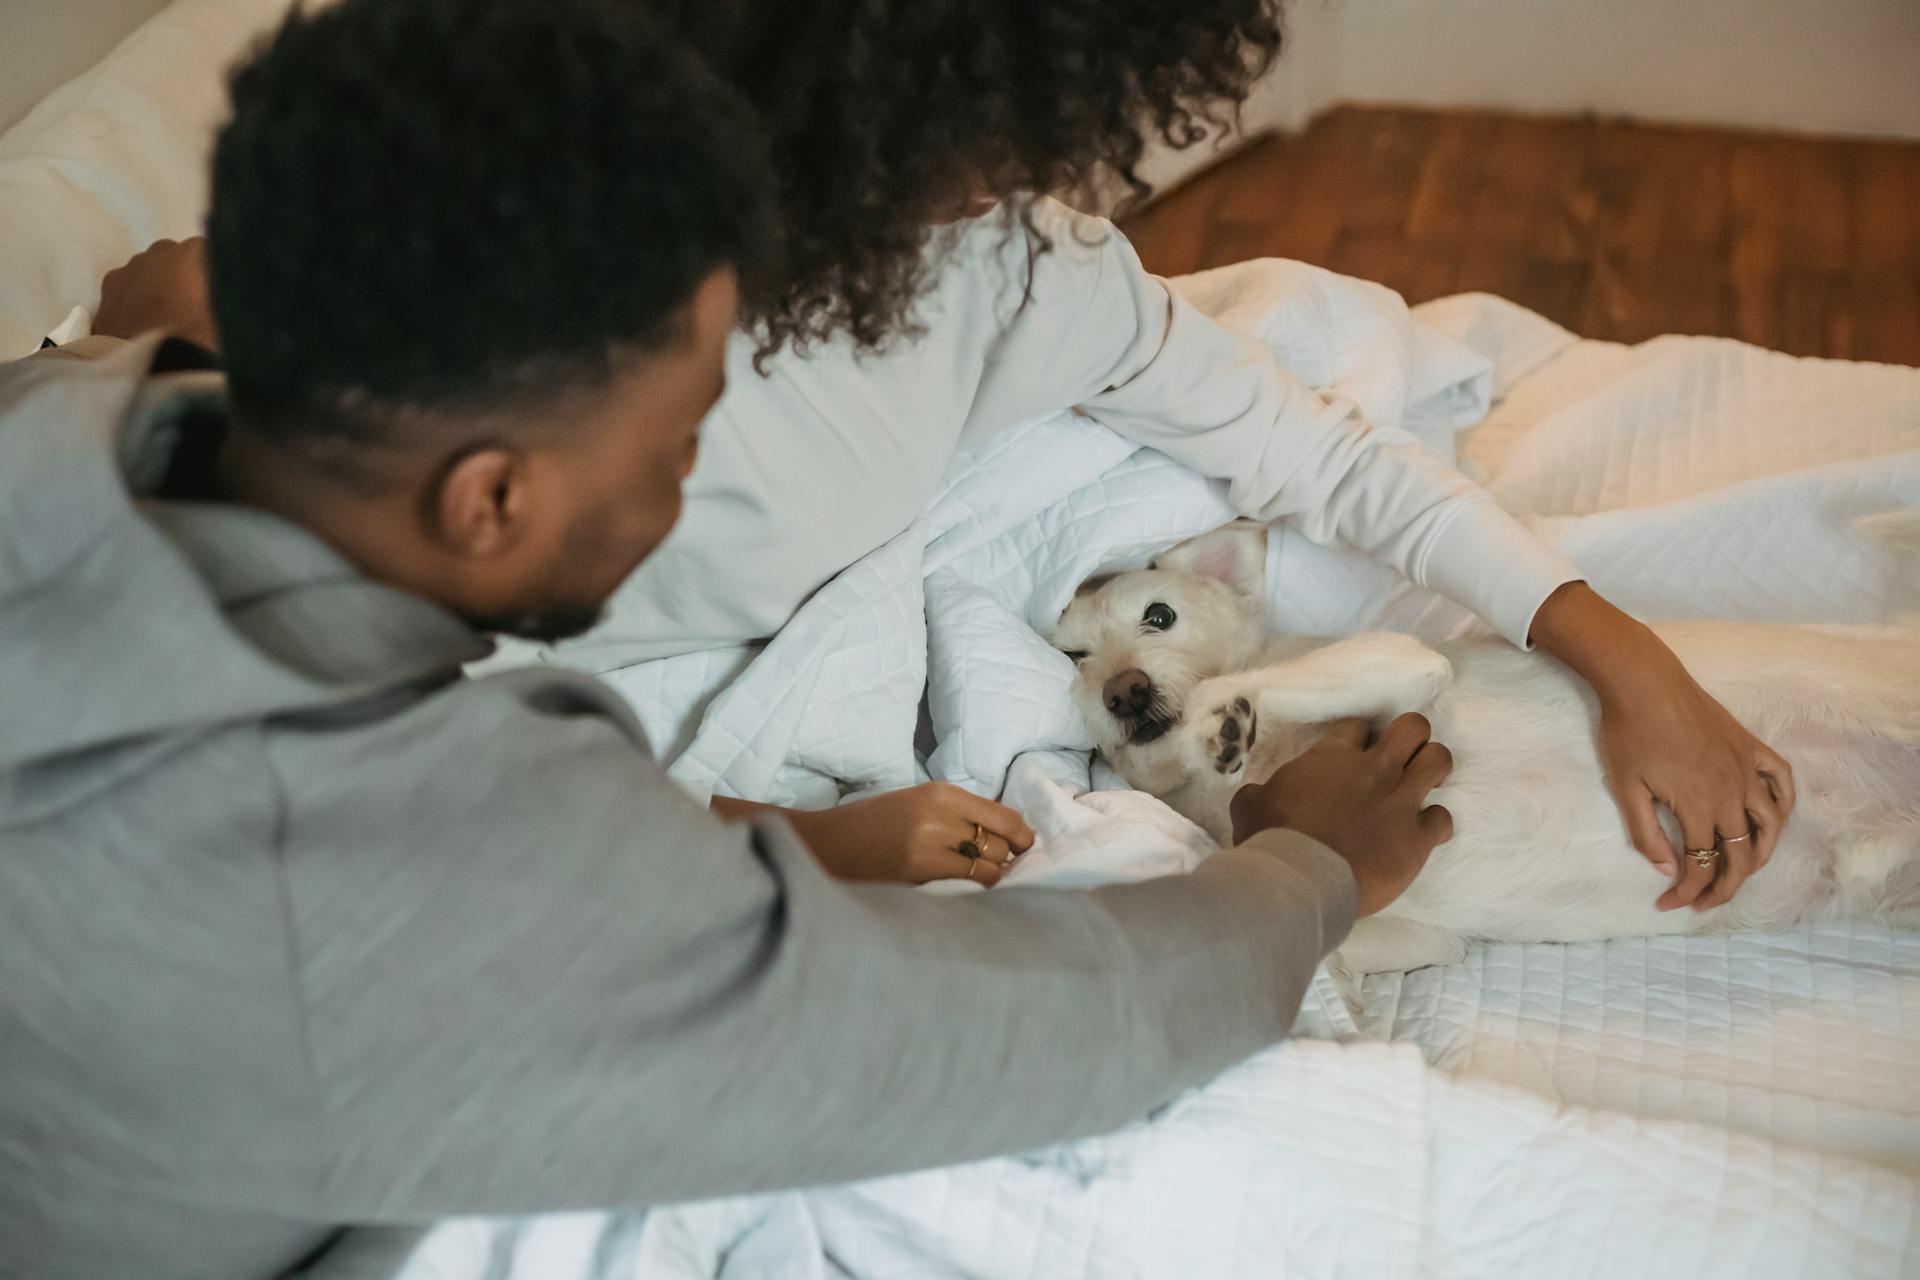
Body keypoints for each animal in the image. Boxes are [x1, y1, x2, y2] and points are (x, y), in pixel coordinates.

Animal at [1052, 521, 1920, 971]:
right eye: (1071, 657)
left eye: (1158, 616)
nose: (1123, 691)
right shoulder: (1415, 935)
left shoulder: (1404, 666)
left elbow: (1259, 684)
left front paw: (1222, 719)